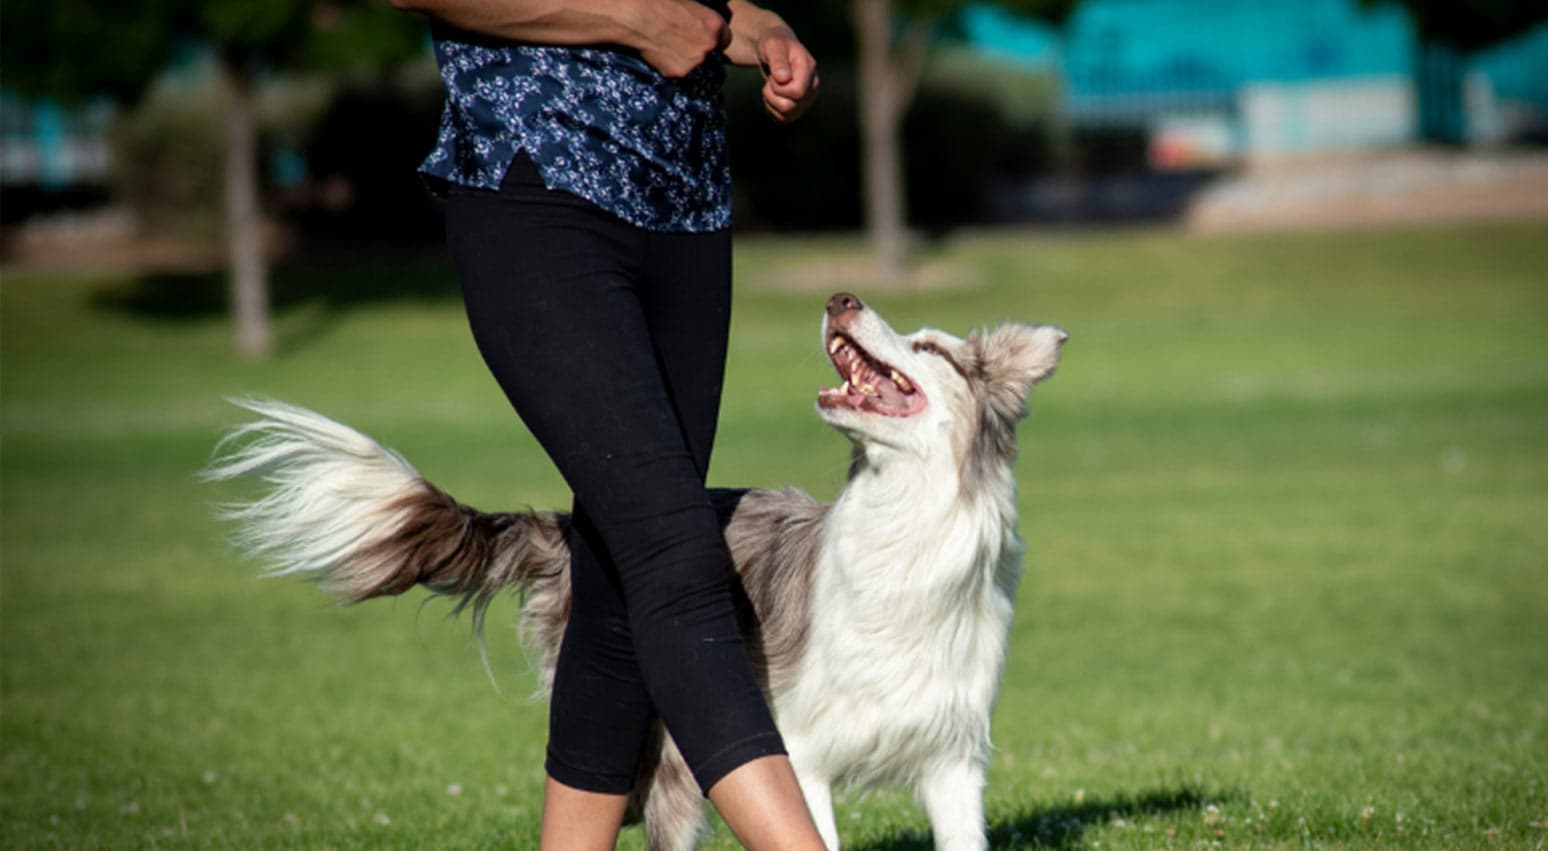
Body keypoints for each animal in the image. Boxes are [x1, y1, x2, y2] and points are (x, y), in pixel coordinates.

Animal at [208, 295, 1065, 851]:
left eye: (934, 350)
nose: (840, 297)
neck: (904, 527)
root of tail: (578, 528)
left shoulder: (953, 761)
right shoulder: (799, 750)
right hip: (663, 750)